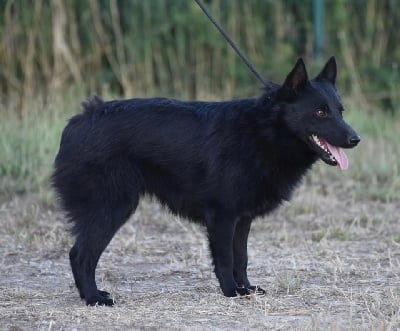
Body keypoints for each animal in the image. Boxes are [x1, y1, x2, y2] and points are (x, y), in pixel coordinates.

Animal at [51, 57, 360, 306]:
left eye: (341, 110)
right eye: (320, 112)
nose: (355, 139)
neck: (263, 132)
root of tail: (78, 121)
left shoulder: (241, 219)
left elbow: (241, 258)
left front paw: (246, 288)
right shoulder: (221, 217)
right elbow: (225, 259)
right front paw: (231, 292)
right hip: (112, 208)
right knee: (80, 255)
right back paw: (93, 298)